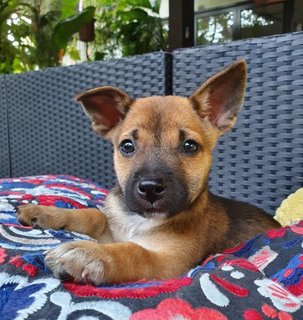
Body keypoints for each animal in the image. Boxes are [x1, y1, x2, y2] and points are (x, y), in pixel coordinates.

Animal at [17, 60, 282, 284]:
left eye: (190, 146)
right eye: (127, 146)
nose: (150, 189)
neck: (140, 220)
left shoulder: (170, 260)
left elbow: (133, 251)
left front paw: (86, 253)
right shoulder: (113, 228)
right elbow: (94, 215)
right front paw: (44, 212)